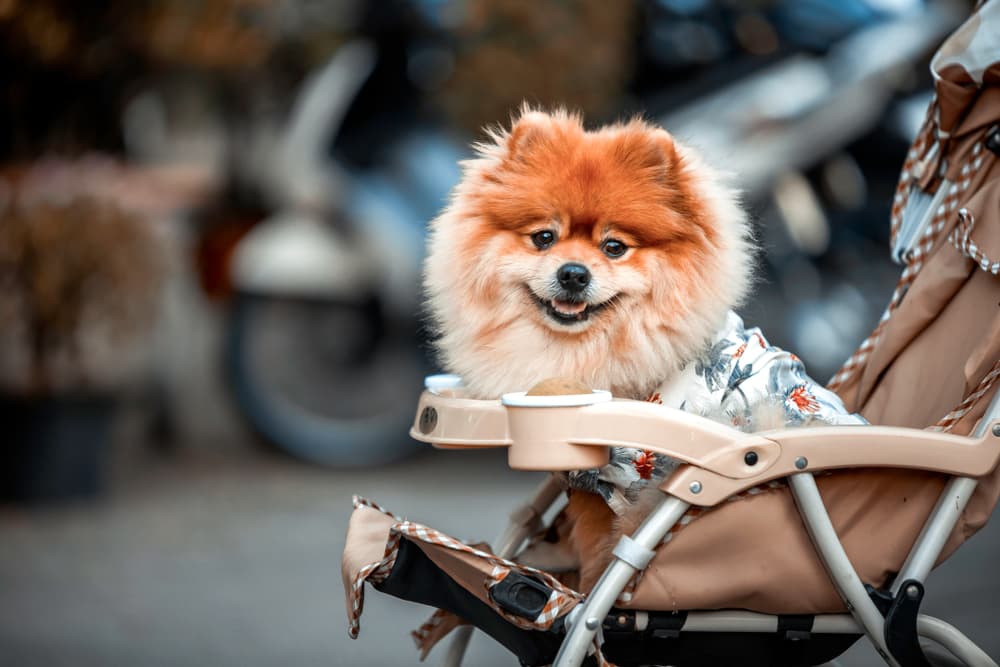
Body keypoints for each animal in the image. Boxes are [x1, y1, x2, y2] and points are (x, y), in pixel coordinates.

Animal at [422, 107, 752, 592]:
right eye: (543, 237)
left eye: (614, 247)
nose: (573, 273)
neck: (583, 351)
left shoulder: (615, 493)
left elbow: (600, 563)